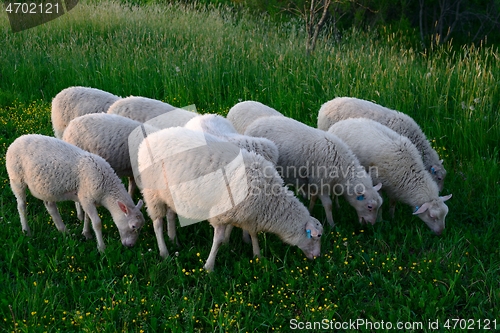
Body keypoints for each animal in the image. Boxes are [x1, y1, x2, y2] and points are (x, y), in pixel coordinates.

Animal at [6, 134, 146, 250]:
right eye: (134, 227)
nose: (130, 246)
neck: (106, 188)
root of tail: (15, 141)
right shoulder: (86, 198)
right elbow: (97, 223)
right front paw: (102, 248)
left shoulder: (85, 199)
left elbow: (88, 217)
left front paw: (87, 234)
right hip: (16, 179)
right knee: (21, 206)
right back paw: (27, 231)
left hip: (45, 187)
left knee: (50, 206)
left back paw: (63, 230)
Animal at [137, 125, 322, 270]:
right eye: (317, 236)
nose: (318, 257)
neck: (269, 198)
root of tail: (147, 140)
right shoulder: (221, 213)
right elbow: (218, 240)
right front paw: (209, 267)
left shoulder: (245, 213)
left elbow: (251, 233)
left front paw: (257, 256)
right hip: (152, 194)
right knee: (157, 223)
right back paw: (164, 252)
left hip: (168, 195)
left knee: (170, 215)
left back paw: (174, 240)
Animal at [245, 115, 382, 227]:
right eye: (370, 207)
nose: (371, 225)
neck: (341, 164)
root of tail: (254, 123)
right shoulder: (321, 183)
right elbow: (328, 205)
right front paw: (332, 225)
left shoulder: (316, 182)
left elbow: (314, 198)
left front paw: (311, 210)